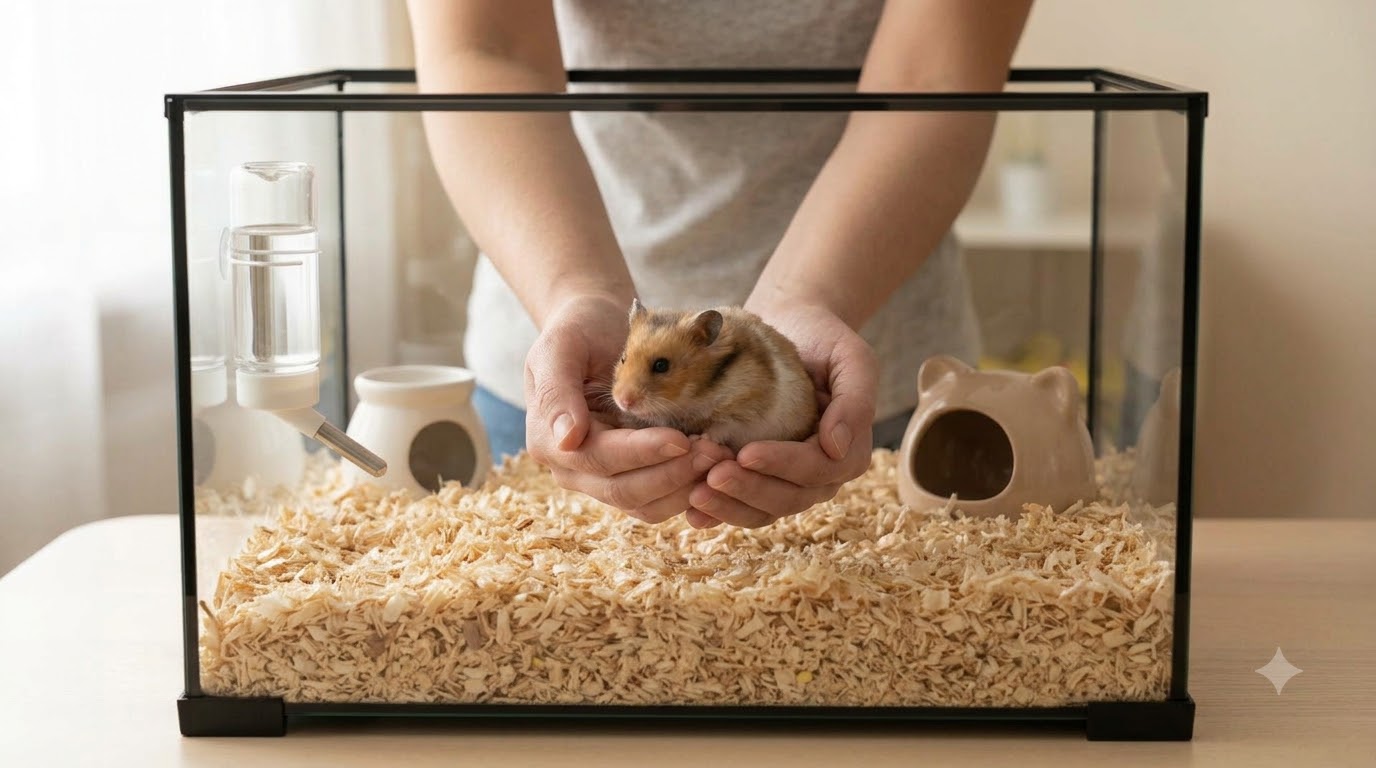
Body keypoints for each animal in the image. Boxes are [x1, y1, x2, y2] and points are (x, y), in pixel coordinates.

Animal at [609, 299, 820, 452]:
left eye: (661, 365)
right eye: (623, 359)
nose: (623, 402)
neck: (694, 396)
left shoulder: (747, 409)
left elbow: (723, 427)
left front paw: (698, 439)